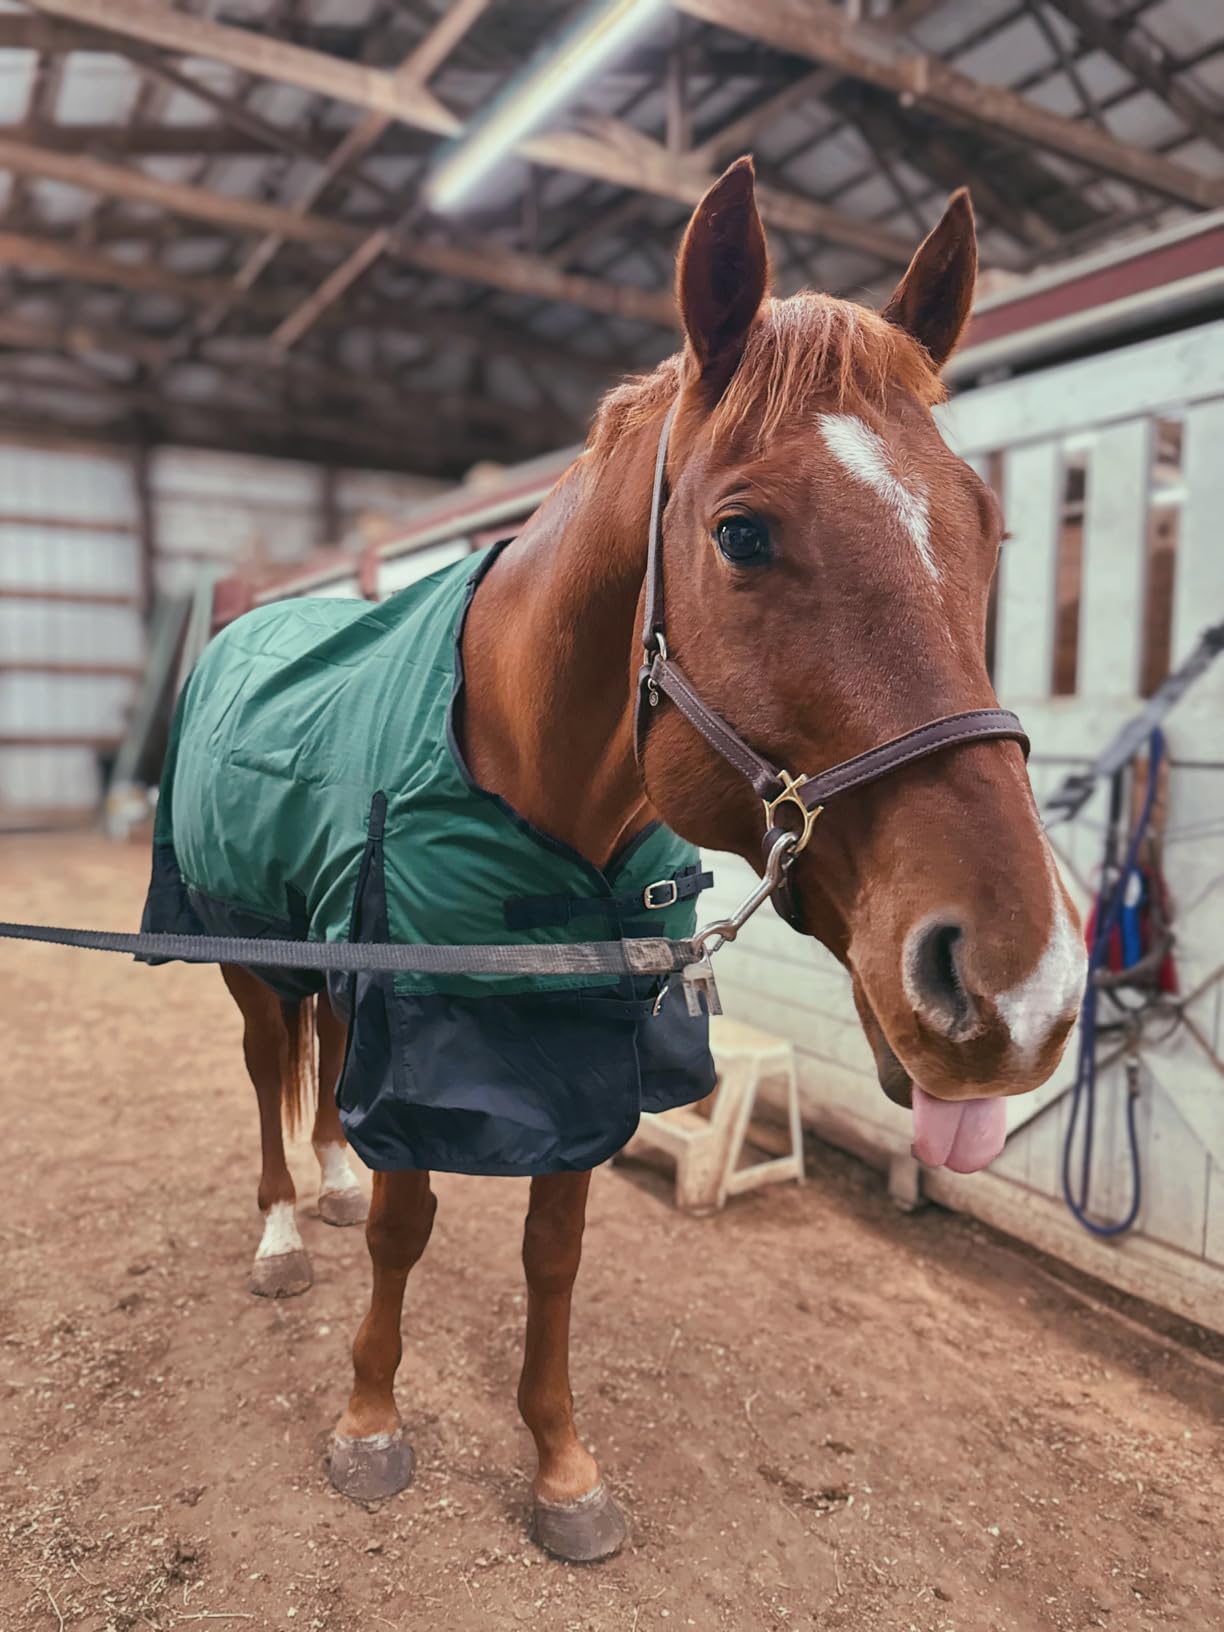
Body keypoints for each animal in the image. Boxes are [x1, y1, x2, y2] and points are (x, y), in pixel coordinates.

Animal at [143, 158, 1085, 1562]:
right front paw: (370, 1418)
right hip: (240, 945)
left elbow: (556, 1250)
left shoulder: (580, 1041)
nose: (1026, 987)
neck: (536, 792)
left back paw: (325, 1185)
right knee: (270, 1070)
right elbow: (410, 1224)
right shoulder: (420, 1029)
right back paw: (278, 1234)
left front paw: (562, 1467)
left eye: (992, 532)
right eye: (742, 534)